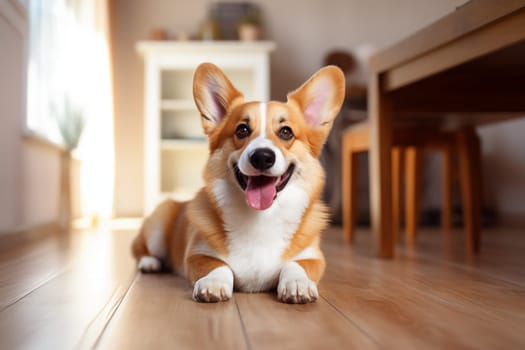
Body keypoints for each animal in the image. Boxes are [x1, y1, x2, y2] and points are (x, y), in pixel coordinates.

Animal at [132, 61, 344, 302]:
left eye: (286, 132)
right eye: (242, 130)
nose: (262, 157)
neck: (261, 218)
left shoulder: (313, 256)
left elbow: (296, 265)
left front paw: (298, 284)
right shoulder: (197, 254)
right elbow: (218, 265)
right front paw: (213, 284)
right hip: (158, 226)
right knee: (140, 250)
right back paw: (149, 262)